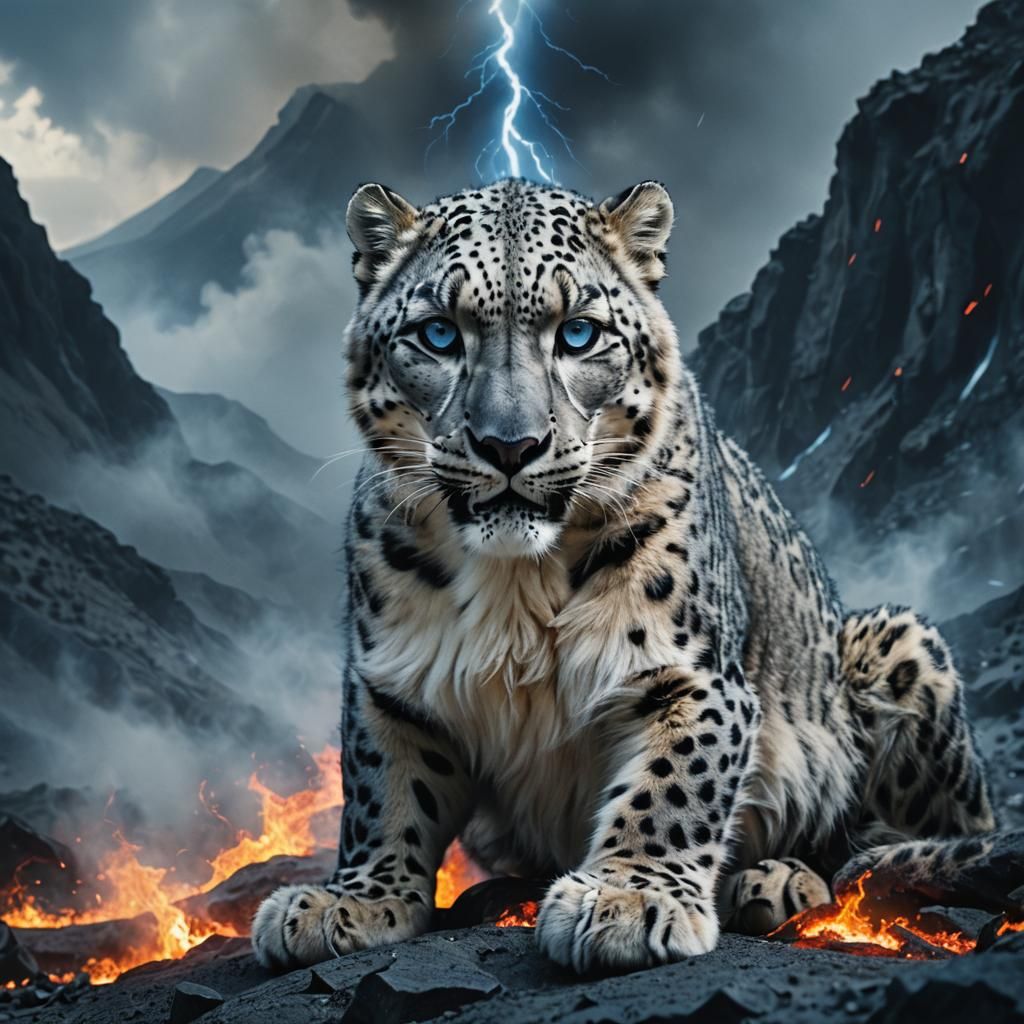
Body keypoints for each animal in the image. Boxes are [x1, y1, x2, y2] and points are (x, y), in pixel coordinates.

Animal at [251, 177, 1001, 974]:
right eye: (439, 334)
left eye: (579, 334)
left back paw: (780, 880)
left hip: (898, 646)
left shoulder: (688, 668)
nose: (509, 445)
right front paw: (355, 900)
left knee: (905, 840)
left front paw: (628, 898)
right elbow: (384, 793)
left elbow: (675, 782)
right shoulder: (392, 678)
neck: (514, 585)